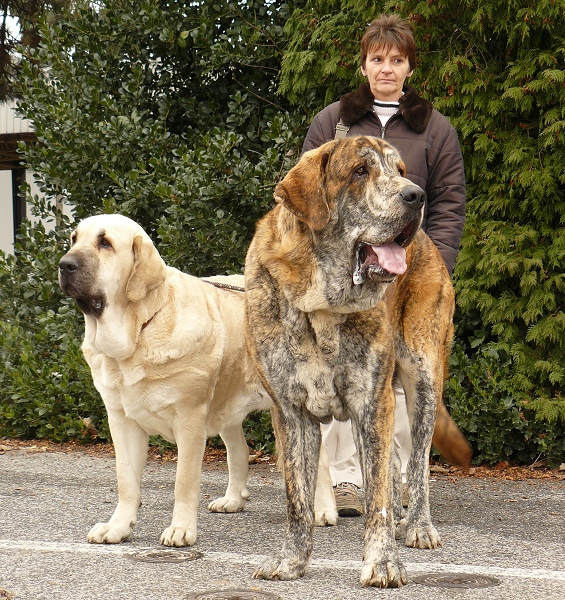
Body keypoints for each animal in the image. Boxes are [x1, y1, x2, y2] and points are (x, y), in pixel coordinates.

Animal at [245, 135, 470, 584]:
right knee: (396, 461)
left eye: (399, 170)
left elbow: (378, 496)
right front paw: (291, 559)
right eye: (359, 172)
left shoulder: (371, 401)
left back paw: (417, 525)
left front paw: (382, 562)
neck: (319, 304)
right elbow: (297, 497)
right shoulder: (291, 411)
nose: (416, 195)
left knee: (418, 462)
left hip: (422, 378)